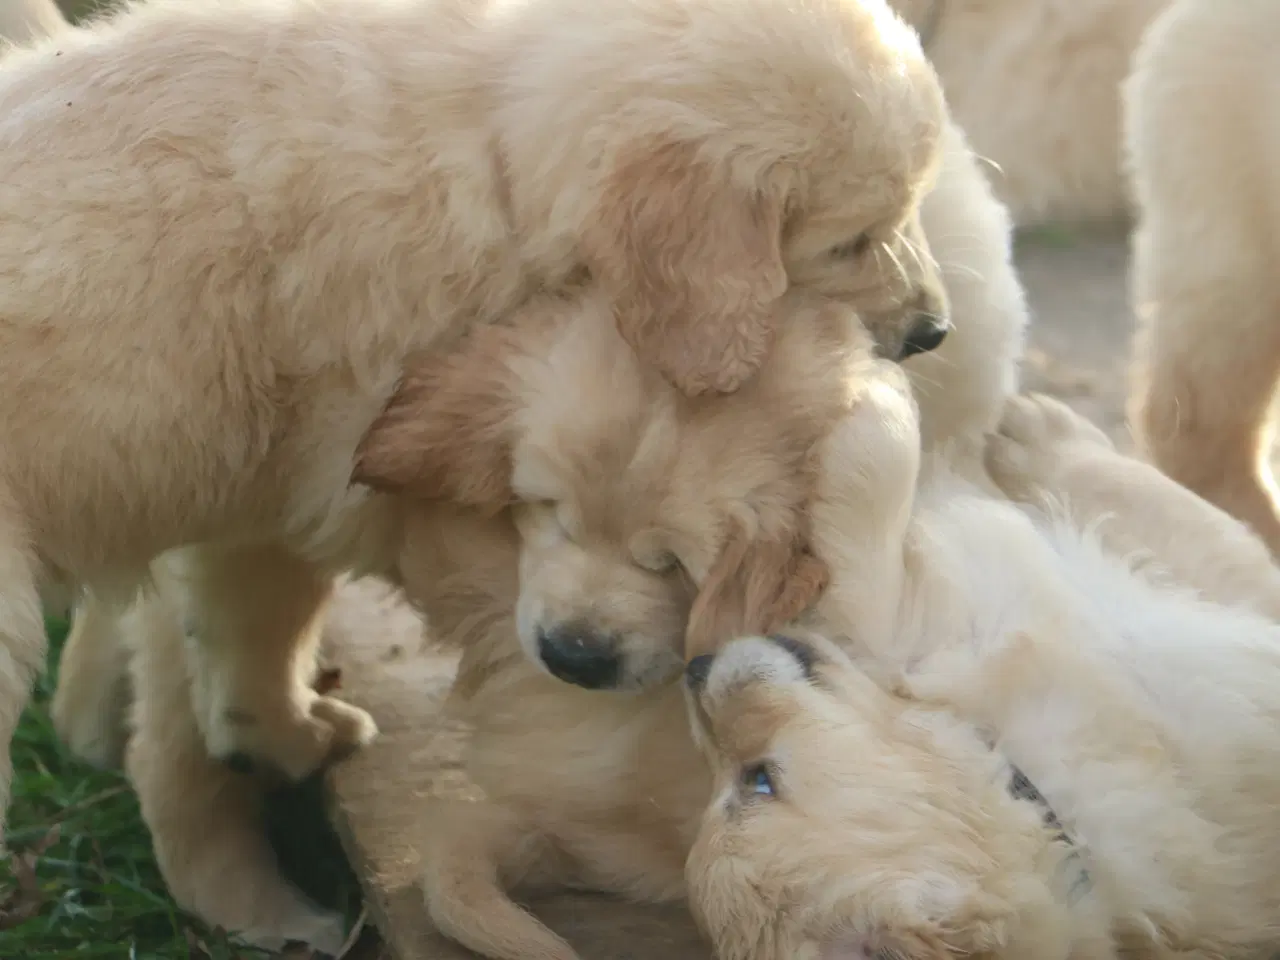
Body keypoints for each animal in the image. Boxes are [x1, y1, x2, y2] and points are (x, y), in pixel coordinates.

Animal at [0, 0, 952, 839]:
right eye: (851, 240)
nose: (934, 331)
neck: (495, 146)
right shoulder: (358, 449)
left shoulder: (266, 478)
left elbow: (253, 613)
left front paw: (280, 736)